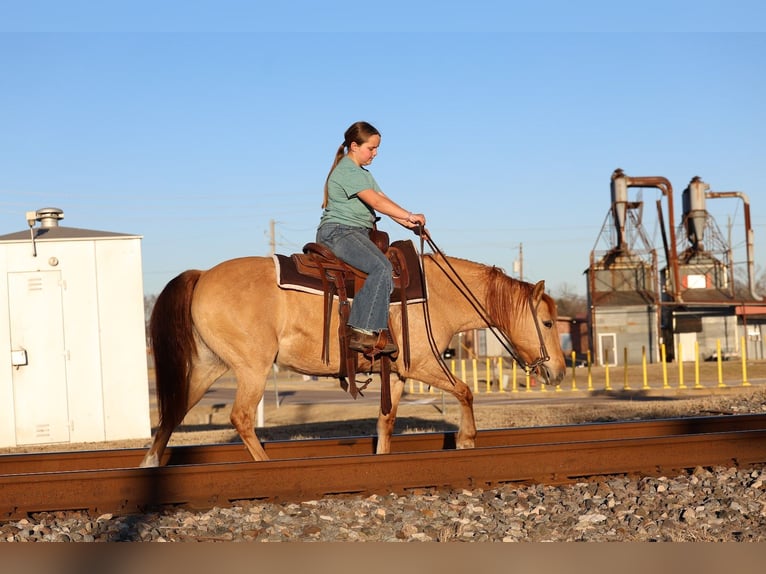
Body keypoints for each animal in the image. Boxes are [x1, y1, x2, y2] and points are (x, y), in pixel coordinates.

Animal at [140, 249, 567, 467]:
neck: (438, 293)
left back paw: (149, 464)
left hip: (208, 367)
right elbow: (465, 391)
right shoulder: (423, 364)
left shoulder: (397, 373)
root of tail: (202, 274)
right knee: (241, 417)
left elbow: (386, 422)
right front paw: (466, 440)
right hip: (252, 368)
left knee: (172, 414)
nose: (559, 372)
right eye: (547, 322)